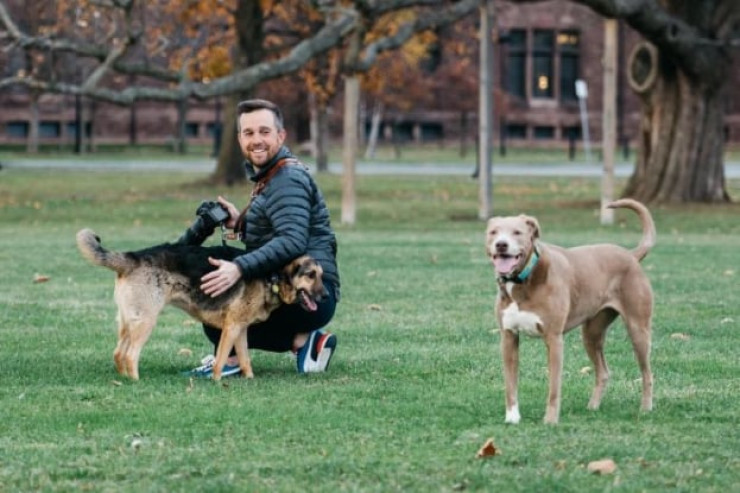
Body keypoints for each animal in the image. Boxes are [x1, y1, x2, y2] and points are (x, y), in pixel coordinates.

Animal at [76, 228, 326, 380]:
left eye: (321, 275)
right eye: (310, 275)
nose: (325, 296)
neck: (271, 275)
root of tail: (133, 257)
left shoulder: (240, 330)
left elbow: (245, 360)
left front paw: (249, 380)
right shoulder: (231, 328)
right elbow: (221, 360)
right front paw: (216, 382)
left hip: (128, 322)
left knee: (118, 353)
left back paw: (124, 379)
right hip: (146, 322)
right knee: (130, 355)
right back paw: (136, 382)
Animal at [486, 199, 652, 422]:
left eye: (517, 232)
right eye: (493, 232)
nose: (501, 244)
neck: (524, 279)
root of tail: (631, 255)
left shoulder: (554, 338)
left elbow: (554, 387)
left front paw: (550, 421)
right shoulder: (508, 337)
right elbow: (510, 384)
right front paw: (512, 418)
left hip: (638, 330)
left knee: (647, 372)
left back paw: (645, 408)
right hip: (591, 334)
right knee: (603, 371)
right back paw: (593, 407)